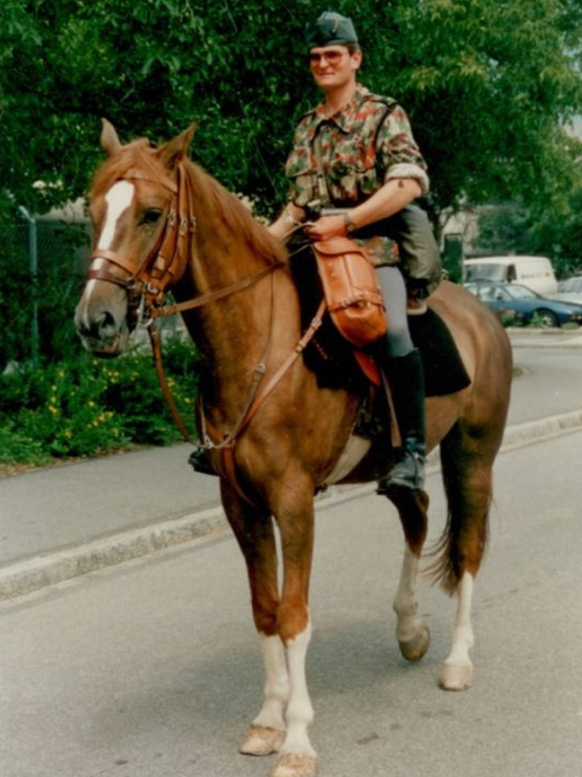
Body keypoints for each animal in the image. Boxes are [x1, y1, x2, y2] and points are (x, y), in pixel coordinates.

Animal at [76, 121, 512, 776]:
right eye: (94, 209)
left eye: (151, 213)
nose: (95, 321)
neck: (258, 340)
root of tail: (483, 315)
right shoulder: (242, 505)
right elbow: (265, 609)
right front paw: (266, 720)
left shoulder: (294, 501)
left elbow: (294, 615)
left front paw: (299, 739)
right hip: (391, 465)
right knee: (416, 515)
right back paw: (410, 631)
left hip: (473, 454)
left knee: (465, 548)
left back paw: (458, 661)